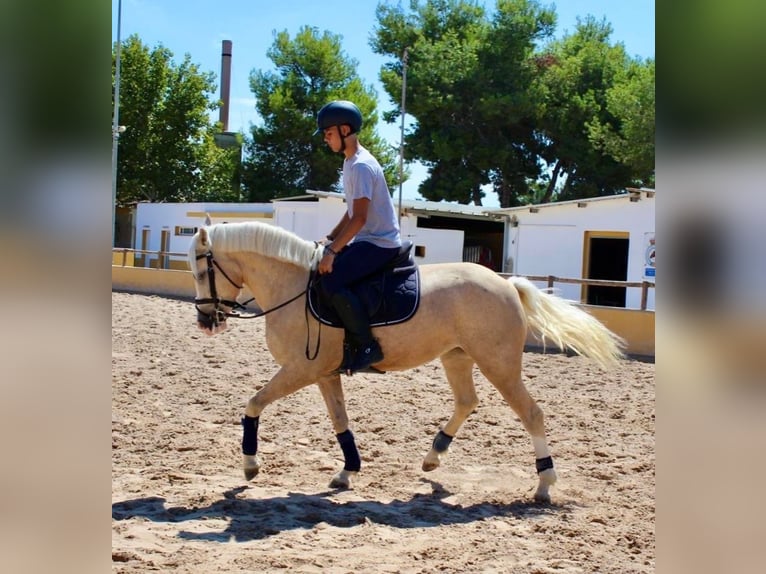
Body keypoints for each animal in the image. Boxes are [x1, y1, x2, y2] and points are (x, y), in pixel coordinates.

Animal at [188, 217, 624, 504]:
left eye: (200, 270)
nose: (205, 321)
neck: (293, 288)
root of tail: (506, 284)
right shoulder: (325, 374)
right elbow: (340, 422)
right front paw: (347, 472)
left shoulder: (301, 369)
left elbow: (253, 404)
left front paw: (250, 464)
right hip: (457, 358)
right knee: (467, 402)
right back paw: (433, 457)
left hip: (498, 364)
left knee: (531, 413)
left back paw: (544, 485)